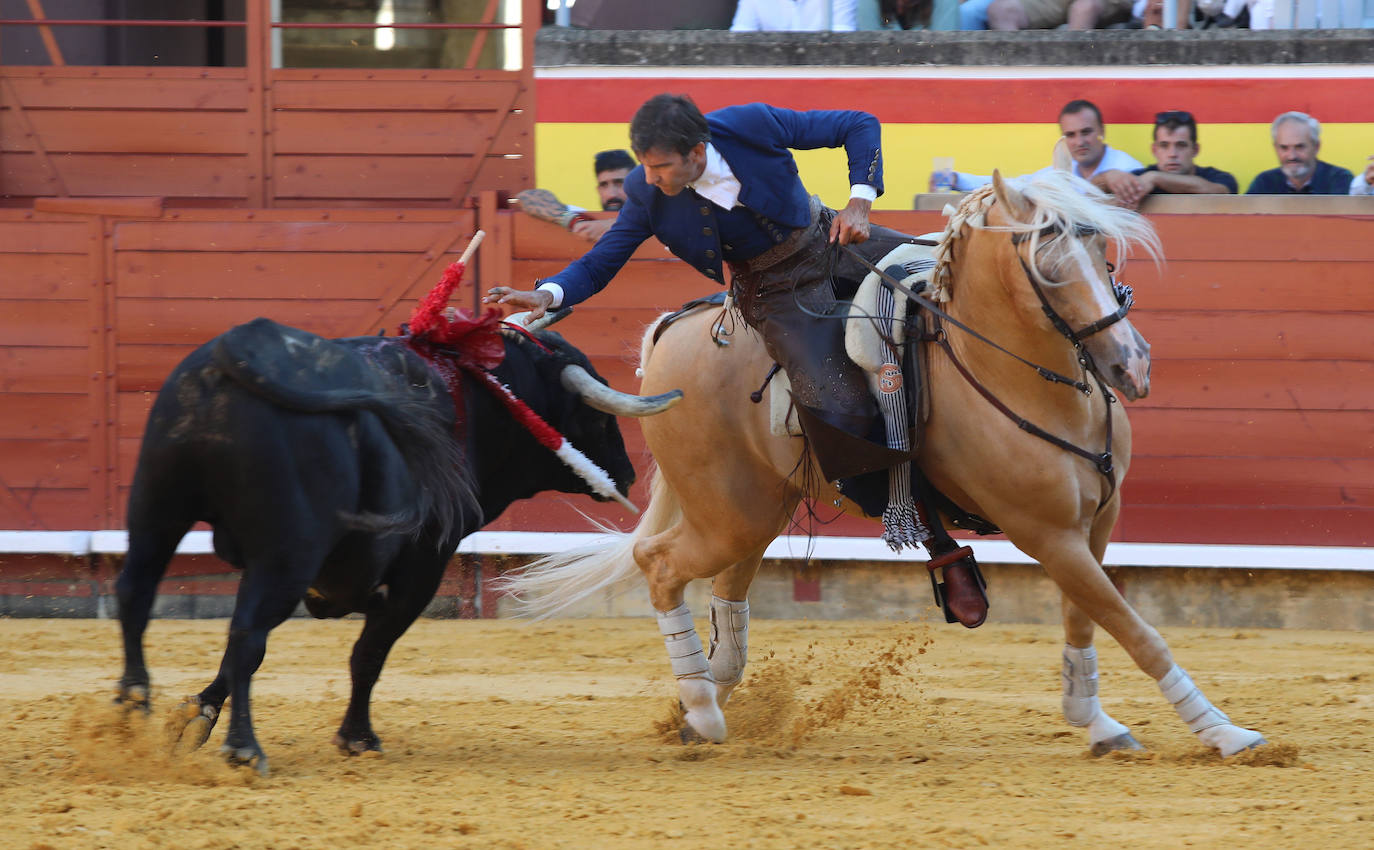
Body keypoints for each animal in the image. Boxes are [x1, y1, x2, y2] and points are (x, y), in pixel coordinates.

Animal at [114, 315, 676, 774]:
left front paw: (194, 717)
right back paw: (244, 748)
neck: (480, 395)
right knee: (247, 632)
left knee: (137, 597)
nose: (626, 475)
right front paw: (357, 738)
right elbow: (369, 652)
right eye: (597, 416)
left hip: (155, 512)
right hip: (285, 556)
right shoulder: (424, 567)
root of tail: (242, 348)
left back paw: (130, 710)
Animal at [502, 170, 1264, 757]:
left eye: (1101, 247)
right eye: (1045, 262)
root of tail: (676, 327)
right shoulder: (1047, 535)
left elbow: (1089, 619)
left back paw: (702, 703)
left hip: (756, 507)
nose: (1131, 366)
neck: (1021, 376)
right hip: (729, 510)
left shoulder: (1098, 523)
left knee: (725, 586)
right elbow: (1136, 630)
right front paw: (1225, 733)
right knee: (659, 564)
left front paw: (1098, 724)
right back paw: (704, 710)